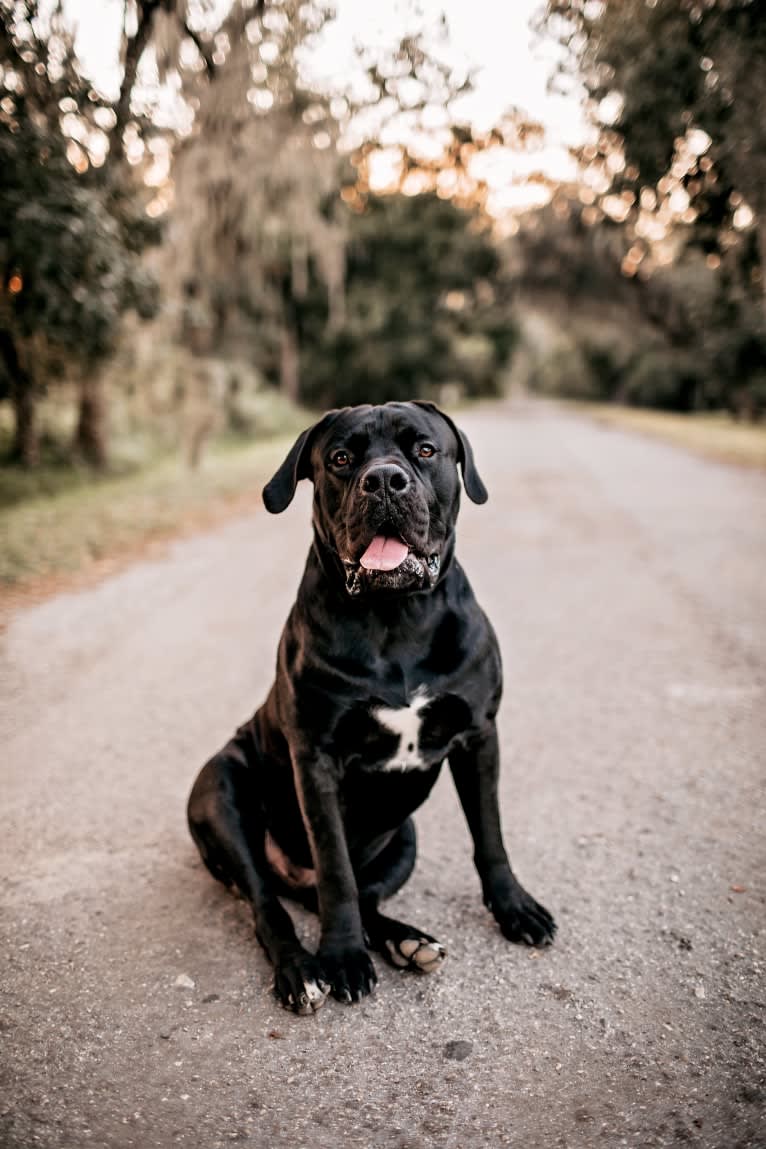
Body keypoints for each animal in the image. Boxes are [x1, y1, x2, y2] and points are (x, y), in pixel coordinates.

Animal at [188, 402, 553, 1015]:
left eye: (425, 449)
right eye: (340, 458)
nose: (383, 479)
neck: (395, 616)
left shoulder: (479, 735)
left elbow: (490, 835)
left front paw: (514, 907)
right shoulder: (317, 760)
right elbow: (335, 868)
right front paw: (340, 958)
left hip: (404, 839)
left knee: (366, 901)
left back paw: (408, 942)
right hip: (220, 793)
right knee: (270, 905)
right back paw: (302, 970)